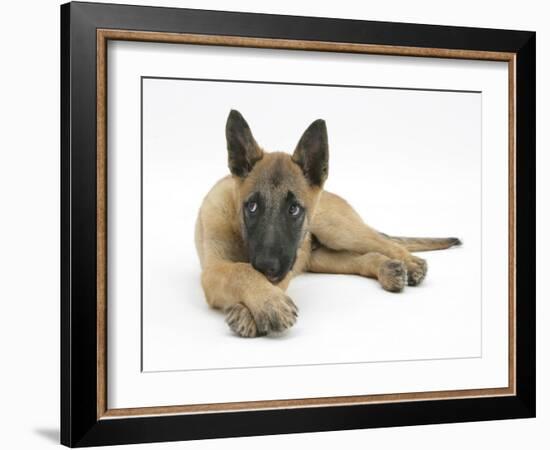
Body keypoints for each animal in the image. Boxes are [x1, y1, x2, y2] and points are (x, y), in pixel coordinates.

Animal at [194, 110, 462, 338]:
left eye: (294, 209)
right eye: (252, 207)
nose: (267, 266)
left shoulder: (284, 266)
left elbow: (246, 271)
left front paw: (258, 307)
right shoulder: (214, 270)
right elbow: (241, 271)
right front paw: (264, 303)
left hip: (338, 230)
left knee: (385, 243)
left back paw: (411, 263)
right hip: (321, 258)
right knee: (363, 258)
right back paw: (387, 269)